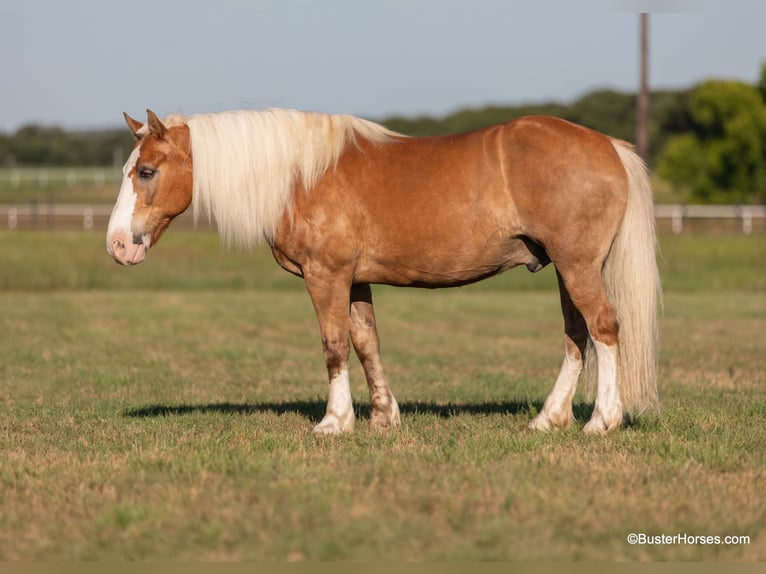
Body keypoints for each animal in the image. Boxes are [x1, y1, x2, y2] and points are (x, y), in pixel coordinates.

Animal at [107, 108, 661, 435]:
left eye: (147, 171)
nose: (117, 246)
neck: (301, 175)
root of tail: (609, 146)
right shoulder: (355, 280)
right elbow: (366, 341)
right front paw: (382, 415)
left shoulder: (326, 276)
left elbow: (333, 345)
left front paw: (335, 422)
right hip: (565, 269)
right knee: (577, 337)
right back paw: (548, 418)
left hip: (578, 266)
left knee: (604, 329)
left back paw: (602, 422)